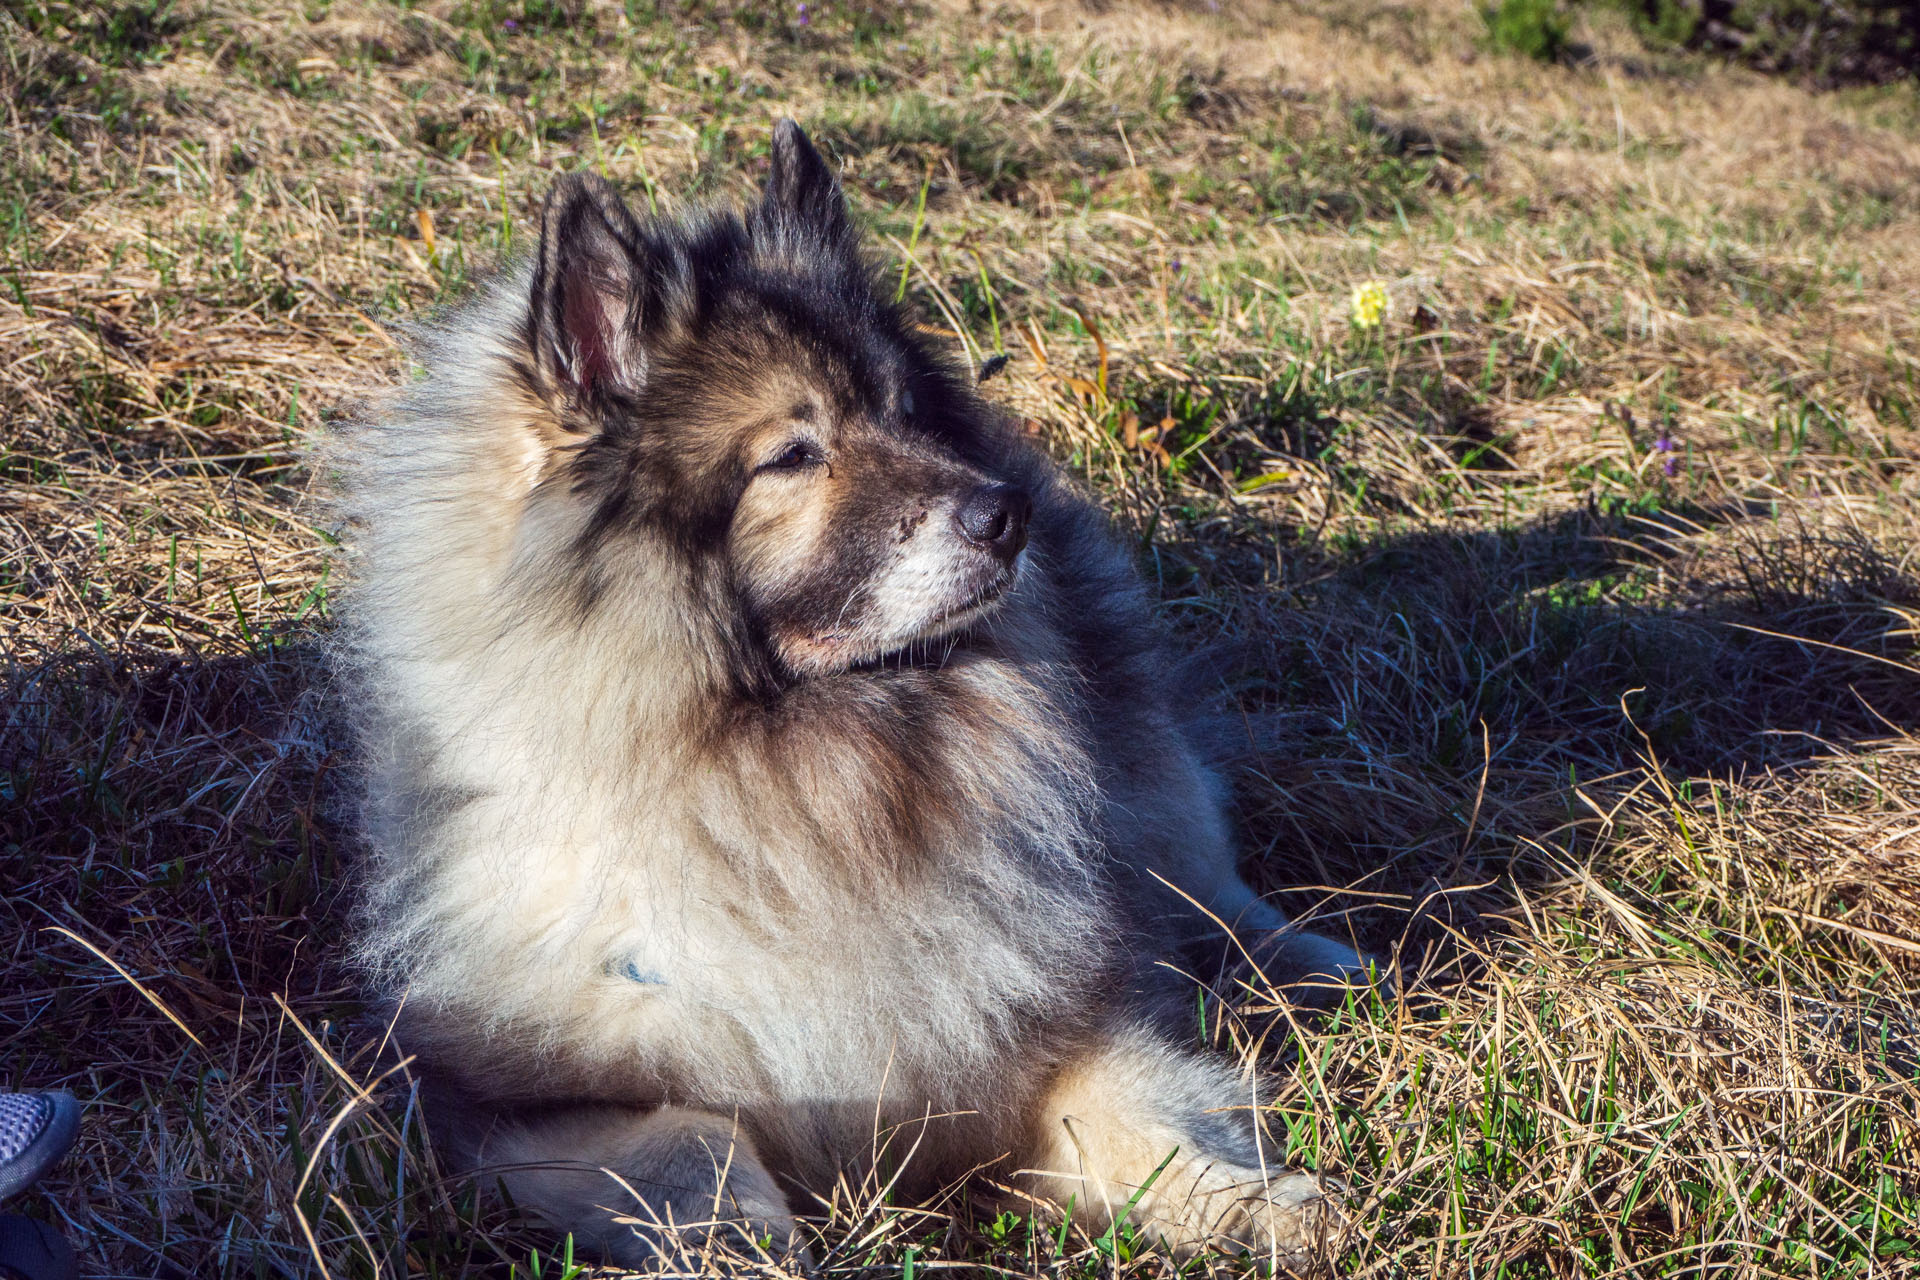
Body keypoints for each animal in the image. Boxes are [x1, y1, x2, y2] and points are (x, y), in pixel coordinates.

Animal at [334, 119, 1382, 1274]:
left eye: (902, 413)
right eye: (793, 454)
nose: (1005, 513)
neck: (795, 789)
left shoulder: (1059, 1020)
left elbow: (1144, 1111)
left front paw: (1263, 1203)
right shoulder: (519, 1106)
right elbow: (695, 1149)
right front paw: (750, 1250)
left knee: (1205, 878)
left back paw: (1318, 965)